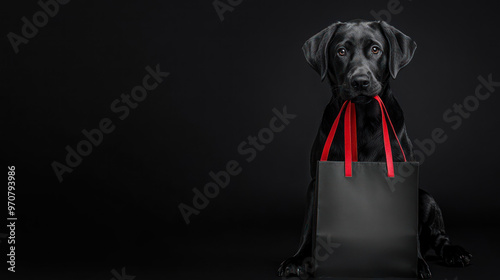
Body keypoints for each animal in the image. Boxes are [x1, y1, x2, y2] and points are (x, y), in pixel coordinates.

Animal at [278, 19, 472, 278]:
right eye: (341, 51)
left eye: (375, 49)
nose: (360, 81)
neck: (362, 118)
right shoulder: (315, 181)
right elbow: (308, 228)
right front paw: (297, 259)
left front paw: (417, 263)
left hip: (426, 198)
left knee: (439, 237)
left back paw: (454, 252)